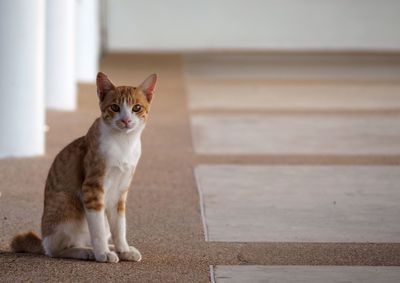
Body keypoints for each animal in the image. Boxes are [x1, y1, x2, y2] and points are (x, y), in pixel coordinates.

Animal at [9, 72, 156, 262]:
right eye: (115, 107)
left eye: (136, 108)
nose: (125, 120)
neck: (124, 143)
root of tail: (43, 240)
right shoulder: (92, 189)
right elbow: (97, 228)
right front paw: (102, 253)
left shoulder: (120, 192)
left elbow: (119, 227)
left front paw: (123, 250)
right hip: (66, 201)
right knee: (57, 249)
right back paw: (88, 251)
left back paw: (109, 248)